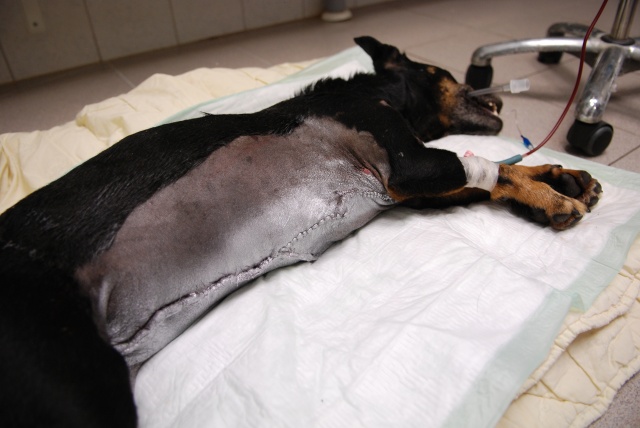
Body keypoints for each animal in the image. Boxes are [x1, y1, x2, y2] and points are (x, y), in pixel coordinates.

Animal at [0, 36, 601, 427]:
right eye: (447, 74)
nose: (495, 94)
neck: (381, 94)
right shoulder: (410, 167)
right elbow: (495, 168)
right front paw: (553, 194)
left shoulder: (411, 187)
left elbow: (502, 175)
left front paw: (559, 176)